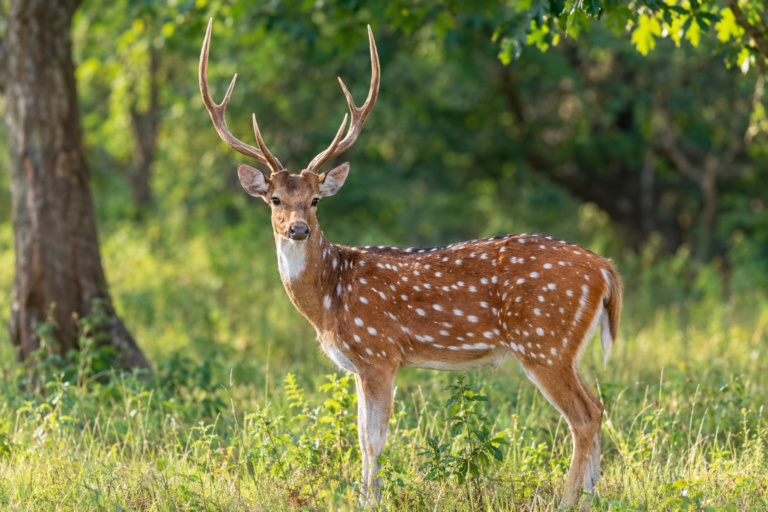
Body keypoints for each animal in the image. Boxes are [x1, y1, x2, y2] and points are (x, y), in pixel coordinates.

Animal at [199, 19, 623, 509]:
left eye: (316, 199)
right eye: (275, 199)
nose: (298, 229)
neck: (329, 299)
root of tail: (605, 269)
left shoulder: (379, 352)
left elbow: (373, 438)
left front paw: (371, 499)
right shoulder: (362, 364)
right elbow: (362, 436)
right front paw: (364, 496)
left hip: (543, 339)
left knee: (584, 415)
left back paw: (568, 499)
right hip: (560, 345)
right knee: (598, 408)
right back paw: (595, 495)